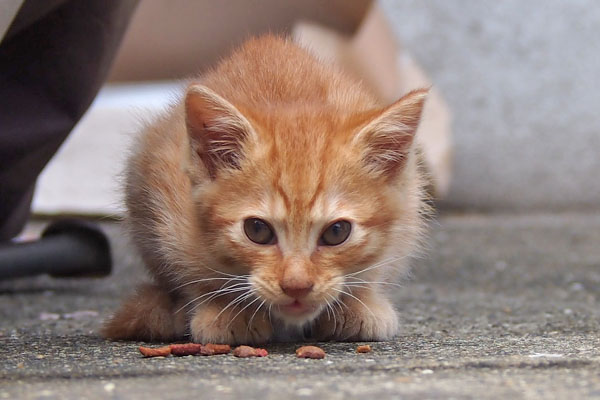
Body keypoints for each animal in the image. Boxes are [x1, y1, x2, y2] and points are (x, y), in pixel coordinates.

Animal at [104, 35, 432, 344]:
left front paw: (358, 304)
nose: (297, 286)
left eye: (337, 232)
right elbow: (192, 272)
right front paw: (229, 310)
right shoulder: (168, 199)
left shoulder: (408, 209)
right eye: (257, 230)